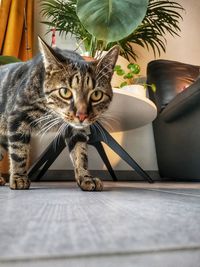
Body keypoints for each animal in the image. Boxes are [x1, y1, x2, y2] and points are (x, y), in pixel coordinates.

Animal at [0, 38, 119, 193]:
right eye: (65, 92)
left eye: (96, 95)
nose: (82, 115)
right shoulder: (18, 115)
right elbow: (19, 152)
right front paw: (19, 178)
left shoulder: (76, 130)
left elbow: (80, 153)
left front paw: (85, 177)